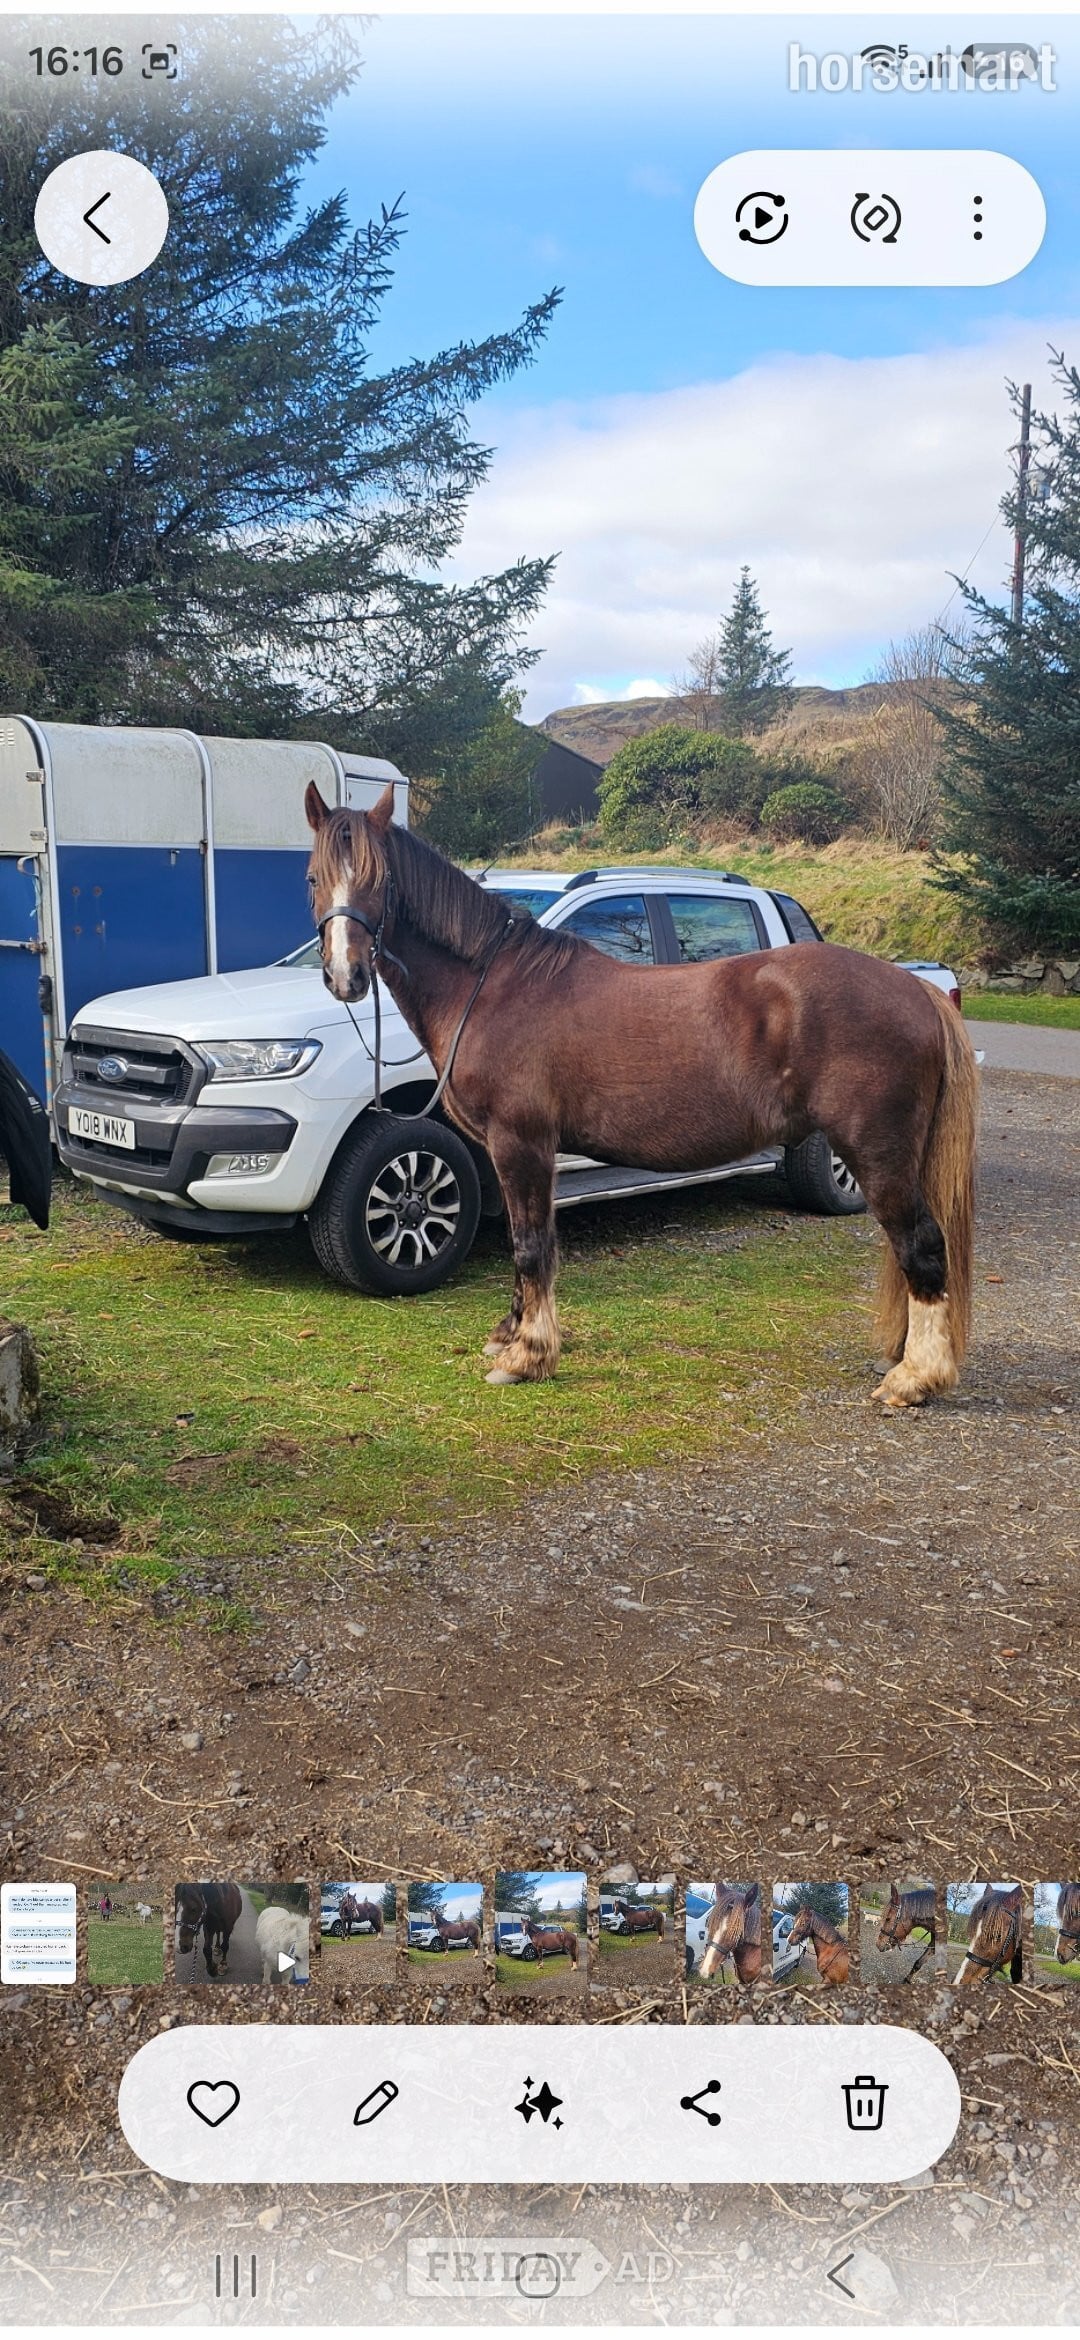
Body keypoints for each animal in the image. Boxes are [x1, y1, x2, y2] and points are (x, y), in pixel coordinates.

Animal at [306, 784, 977, 1407]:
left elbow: (530, 1246)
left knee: (921, 1244)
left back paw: (914, 1378)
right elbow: (527, 1244)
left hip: (876, 1154)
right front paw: (510, 1334)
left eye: (381, 881)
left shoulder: (521, 1143)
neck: (492, 986)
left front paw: (528, 1357)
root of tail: (917, 990)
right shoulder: (515, 1153)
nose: (346, 977)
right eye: (314, 877)